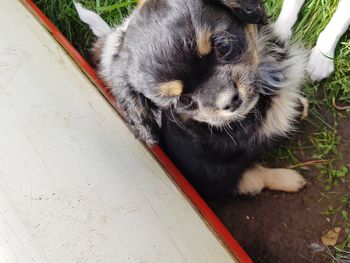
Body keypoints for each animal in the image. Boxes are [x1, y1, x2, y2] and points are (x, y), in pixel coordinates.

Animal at [76, 0, 306, 197]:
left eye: (224, 46)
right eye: (183, 100)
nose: (230, 101)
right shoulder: (212, 175)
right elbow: (256, 177)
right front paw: (290, 178)